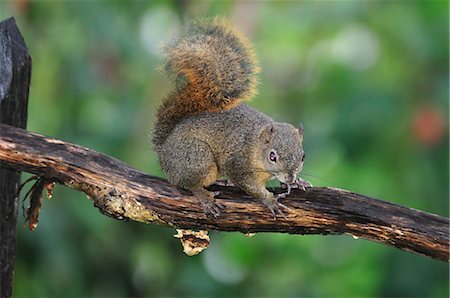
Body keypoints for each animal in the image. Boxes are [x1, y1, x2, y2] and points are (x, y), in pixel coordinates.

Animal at [151, 18, 310, 219]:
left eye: (303, 156)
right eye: (272, 156)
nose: (290, 177)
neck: (254, 145)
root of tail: (163, 150)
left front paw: (298, 182)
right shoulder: (237, 164)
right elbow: (251, 187)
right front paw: (270, 200)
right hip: (197, 158)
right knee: (187, 183)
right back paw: (205, 197)